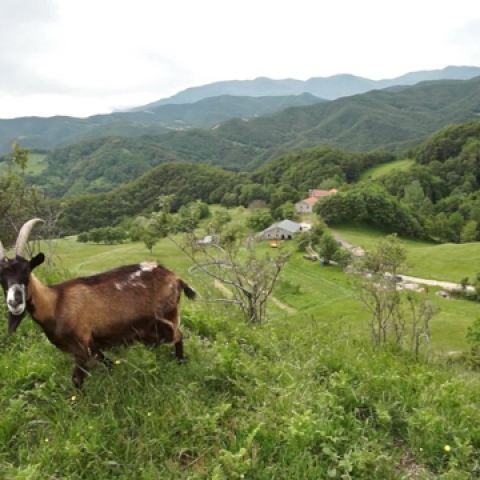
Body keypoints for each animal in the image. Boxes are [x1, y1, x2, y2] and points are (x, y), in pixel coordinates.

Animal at [0, 219, 195, 388]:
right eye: (1, 278)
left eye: (27, 271)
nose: (14, 302)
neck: (55, 302)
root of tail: (175, 278)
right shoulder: (93, 345)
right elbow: (107, 362)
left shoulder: (81, 346)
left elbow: (77, 380)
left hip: (166, 317)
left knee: (178, 336)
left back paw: (179, 364)